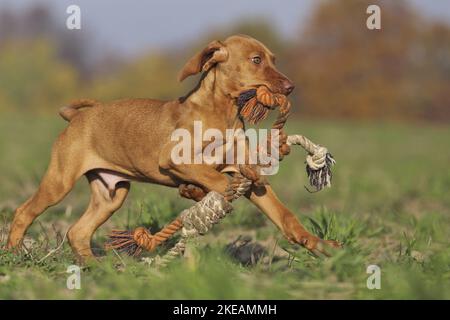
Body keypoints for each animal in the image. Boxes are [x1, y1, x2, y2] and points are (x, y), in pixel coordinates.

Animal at [7, 34, 340, 260]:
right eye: (256, 60)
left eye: (273, 60)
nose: (290, 88)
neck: (221, 113)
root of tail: (78, 116)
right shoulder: (175, 159)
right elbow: (215, 178)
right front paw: (203, 191)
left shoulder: (250, 176)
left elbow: (285, 216)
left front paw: (320, 245)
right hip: (60, 181)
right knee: (24, 212)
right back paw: (14, 254)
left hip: (111, 194)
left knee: (78, 232)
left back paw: (98, 269)